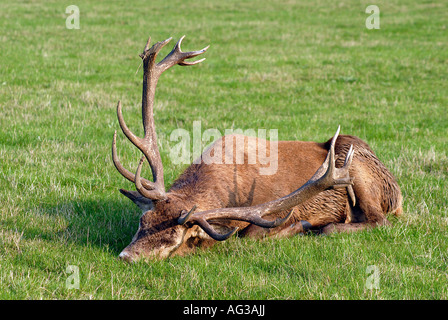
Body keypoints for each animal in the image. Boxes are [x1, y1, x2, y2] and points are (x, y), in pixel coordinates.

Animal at [111, 37, 402, 262]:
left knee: (378, 220)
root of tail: (397, 195)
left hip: (357, 168)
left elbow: (250, 236)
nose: (126, 257)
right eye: (143, 222)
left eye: (173, 240)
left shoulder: (278, 212)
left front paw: (301, 227)